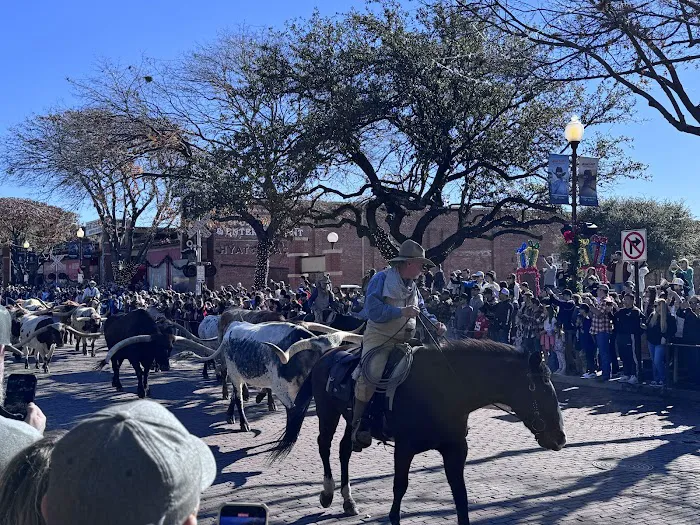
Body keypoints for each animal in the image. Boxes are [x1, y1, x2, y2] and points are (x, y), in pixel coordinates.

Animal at [270, 340, 568, 524]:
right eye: (541, 385)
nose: (560, 437)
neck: (445, 389)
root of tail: (327, 355)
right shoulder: (405, 448)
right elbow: (399, 487)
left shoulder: (455, 450)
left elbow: (460, 494)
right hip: (327, 413)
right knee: (324, 446)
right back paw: (328, 493)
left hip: (349, 419)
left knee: (344, 449)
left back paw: (349, 500)